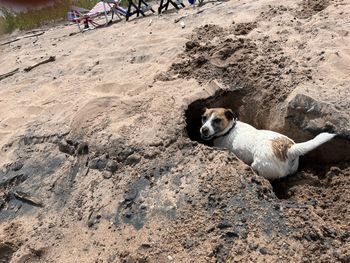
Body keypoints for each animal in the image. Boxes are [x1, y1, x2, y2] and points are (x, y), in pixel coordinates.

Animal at [200, 107, 336, 179]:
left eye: (217, 120)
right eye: (204, 118)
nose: (203, 130)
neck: (229, 129)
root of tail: (289, 149)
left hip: (259, 165)